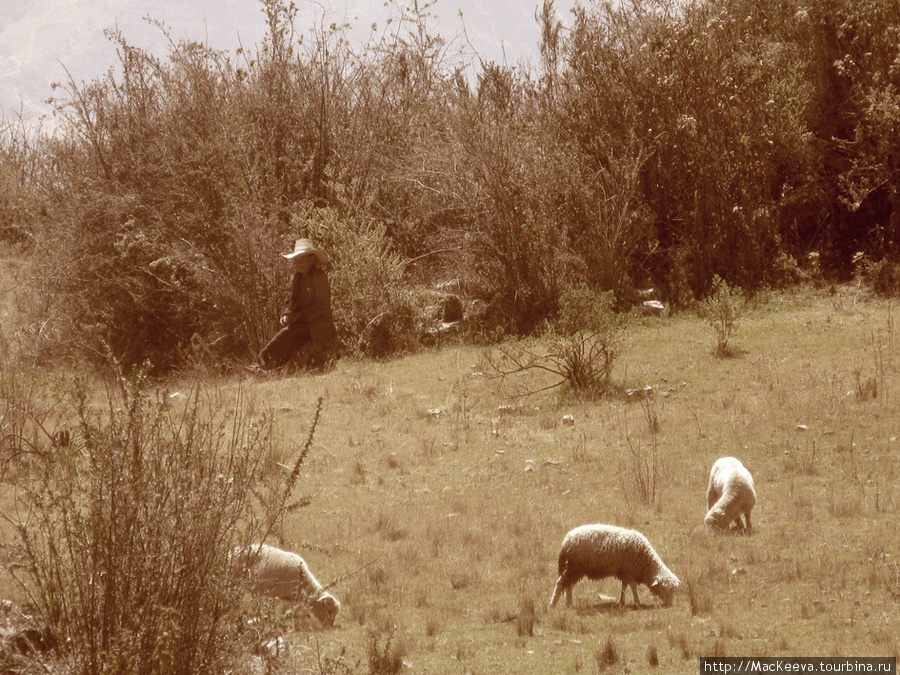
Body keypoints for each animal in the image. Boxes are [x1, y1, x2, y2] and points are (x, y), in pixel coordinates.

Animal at [548, 524, 684, 608]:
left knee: (569, 585)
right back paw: (554, 604)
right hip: (574, 566)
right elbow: (633, 587)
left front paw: (621, 602)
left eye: (673, 591)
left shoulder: (624, 572)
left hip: (575, 568)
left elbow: (624, 587)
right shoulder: (629, 571)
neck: (645, 563)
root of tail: (566, 541)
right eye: (663, 590)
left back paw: (569, 604)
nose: (669, 605)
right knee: (561, 583)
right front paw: (637, 603)